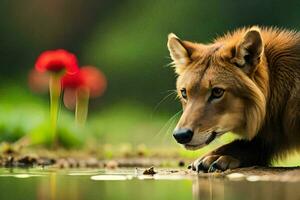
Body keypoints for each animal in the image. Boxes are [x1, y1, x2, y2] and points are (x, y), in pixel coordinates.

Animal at [168, 26, 300, 173]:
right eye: (184, 93)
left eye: (217, 92)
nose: (181, 135)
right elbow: (247, 144)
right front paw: (216, 157)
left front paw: (218, 158)